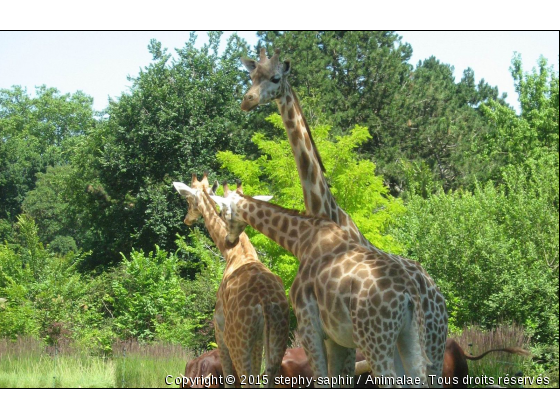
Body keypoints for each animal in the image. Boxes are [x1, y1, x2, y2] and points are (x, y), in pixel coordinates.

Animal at [174, 174, 288, 388]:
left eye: (188, 199)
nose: (187, 219)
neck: (234, 253)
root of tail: (265, 303)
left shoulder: (219, 328)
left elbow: (229, 379)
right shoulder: (258, 340)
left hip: (237, 340)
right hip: (277, 338)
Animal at [210, 185, 434, 388]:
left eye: (222, 212)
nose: (229, 241)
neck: (301, 241)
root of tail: (408, 294)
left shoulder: (308, 327)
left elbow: (322, 381)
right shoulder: (334, 338)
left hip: (375, 341)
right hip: (410, 337)